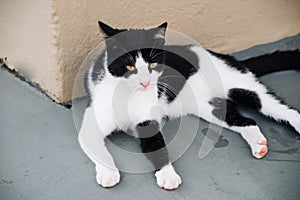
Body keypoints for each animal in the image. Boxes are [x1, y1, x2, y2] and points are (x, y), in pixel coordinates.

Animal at [78, 21, 300, 190]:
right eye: (129, 66)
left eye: (152, 65)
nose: (145, 83)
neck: (128, 95)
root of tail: (228, 56)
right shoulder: (92, 121)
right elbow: (98, 148)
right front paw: (109, 173)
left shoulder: (149, 119)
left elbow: (157, 145)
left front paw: (168, 174)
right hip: (209, 106)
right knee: (246, 120)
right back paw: (258, 144)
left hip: (242, 86)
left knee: (280, 108)